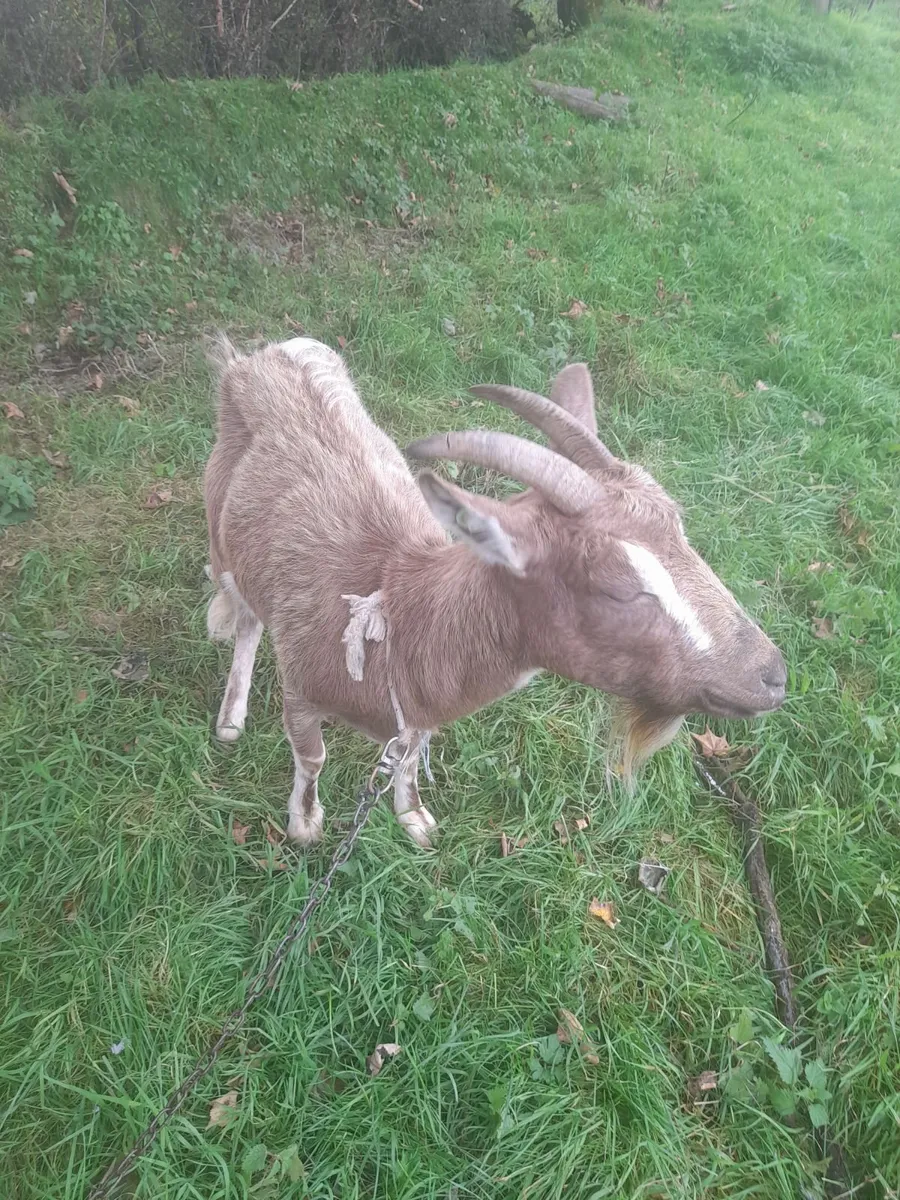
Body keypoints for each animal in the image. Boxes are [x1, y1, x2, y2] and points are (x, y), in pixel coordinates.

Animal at [204, 335, 786, 848]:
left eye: (683, 535)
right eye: (616, 587)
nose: (773, 676)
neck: (395, 613)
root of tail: (266, 355)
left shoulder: (416, 716)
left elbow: (408, 757)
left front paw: (414, 817)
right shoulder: (302, 689)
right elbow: (312, 756)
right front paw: (304, 825)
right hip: (221, 529)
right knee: (246, 613)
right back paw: (231, 717)